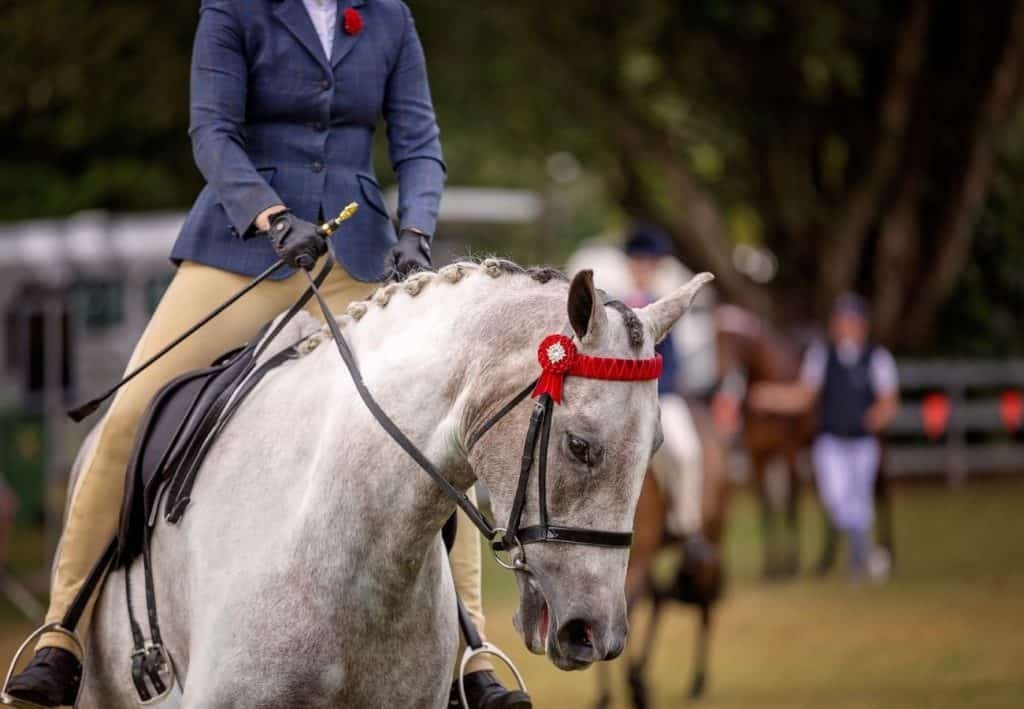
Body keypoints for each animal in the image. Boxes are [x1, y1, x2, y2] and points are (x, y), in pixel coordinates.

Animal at [593, 400, 731, 708]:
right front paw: (609, 696)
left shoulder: (635, 561)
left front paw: (632, 690)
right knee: (660, 600)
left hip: (710, 537)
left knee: (704, 602)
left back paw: (697, 682)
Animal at [713, 305, 814, 580]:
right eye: (715, 337)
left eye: (737, 340)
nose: (721, 375)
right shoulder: (758, 455)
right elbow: (766, 508)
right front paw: (771, 568)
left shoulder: (789, 452)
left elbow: (790, 506)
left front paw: (790, 565)